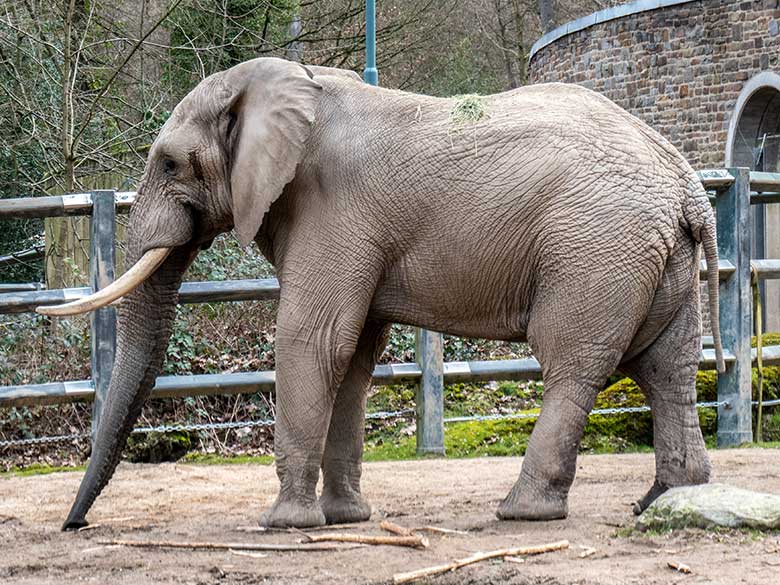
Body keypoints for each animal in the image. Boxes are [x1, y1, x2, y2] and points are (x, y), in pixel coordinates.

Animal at [41, 58, 724, 528]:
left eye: (169, 164)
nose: (75, 526)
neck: (289, 82)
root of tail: (687, 185)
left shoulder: (332, 209)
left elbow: (312, 340)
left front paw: (284, 525)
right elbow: (353, 356)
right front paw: (345, 520)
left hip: (596, 248)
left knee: (574, 364)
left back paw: (523, 511)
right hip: (656, 259)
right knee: (667, 367)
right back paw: (665, 501)